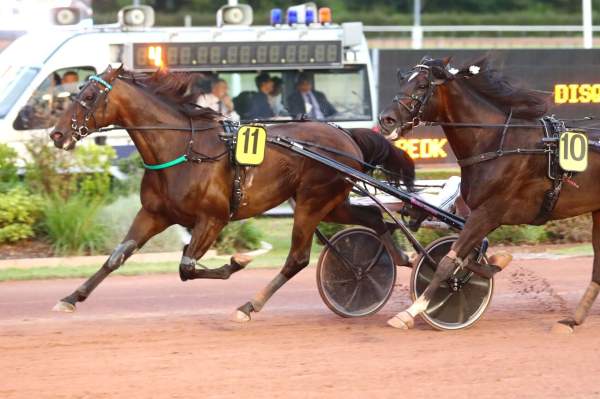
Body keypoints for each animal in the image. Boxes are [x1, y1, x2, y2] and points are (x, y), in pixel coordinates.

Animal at [49, 65, 414, 322]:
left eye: (90, 97)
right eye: (76, 92)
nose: (56, 134)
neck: (183, 147)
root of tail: (347, 136)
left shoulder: (213, 218)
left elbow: (187, 266)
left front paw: (239, 260)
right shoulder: (155, 214)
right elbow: (117, 256)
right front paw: (70, 299)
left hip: (312, 202)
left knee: (297, 258)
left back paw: (249, 305)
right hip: (332, 203)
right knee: (373, 216)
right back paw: (394, 261)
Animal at [380, 54, 600, 332]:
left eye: (421, 85)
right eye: (402, 80)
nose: (386, 120)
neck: (495, 143)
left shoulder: (489, 212)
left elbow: (447, 262)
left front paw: (412, 311)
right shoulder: (476, 212)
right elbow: (465, 255)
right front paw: (492, 263)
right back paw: (572, 320)